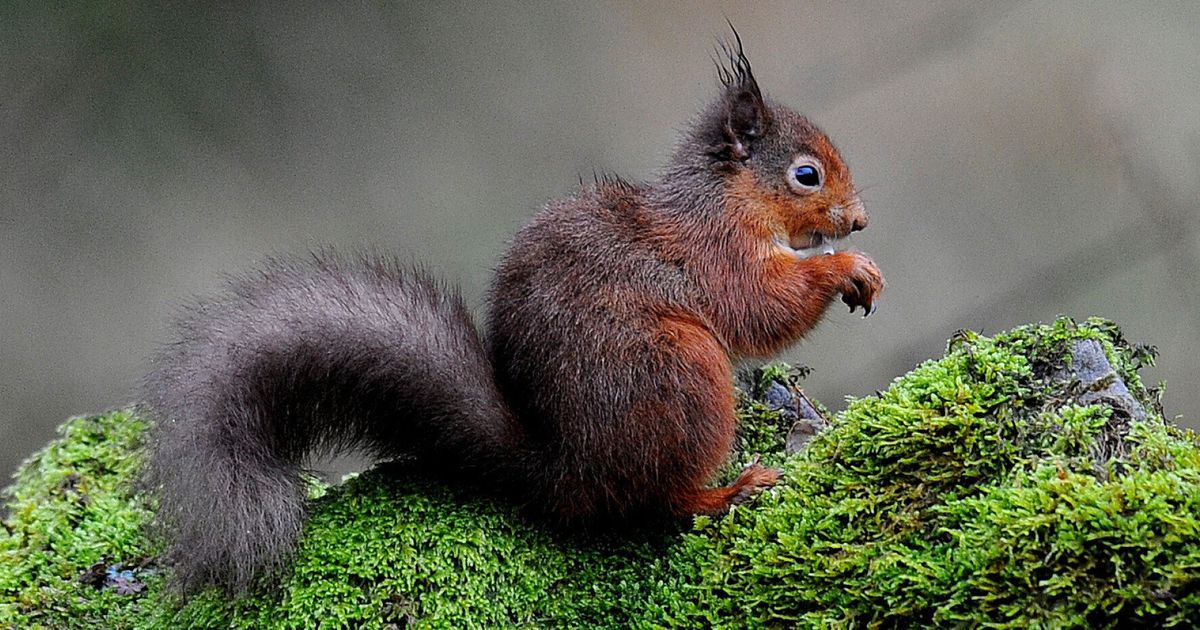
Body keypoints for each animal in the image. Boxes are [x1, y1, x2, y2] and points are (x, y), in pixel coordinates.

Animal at [145, 35, 888, 595]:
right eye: (805, 175)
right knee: (659, 503)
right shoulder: (714, 257)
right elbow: (760, 308)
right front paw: (846, 268)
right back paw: (729, 491)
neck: (725, 201)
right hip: (681, 374)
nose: (858, 221)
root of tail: (564, 473)